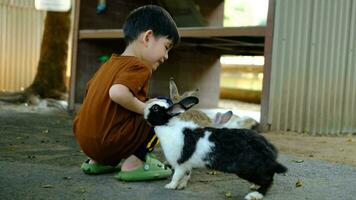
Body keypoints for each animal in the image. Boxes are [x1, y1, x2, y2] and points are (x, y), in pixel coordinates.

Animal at [143, 96, 288, 199]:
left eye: (155, 108)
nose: (145, 103)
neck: (168, 125)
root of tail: (269, 151)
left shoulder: (180, 163)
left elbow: (176, 176)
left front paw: (170, 186)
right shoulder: (187, 164)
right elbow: (186, 175)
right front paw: (181, 186)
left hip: (247, 169)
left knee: (269, 180)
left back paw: (255, 195)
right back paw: (254, 187)